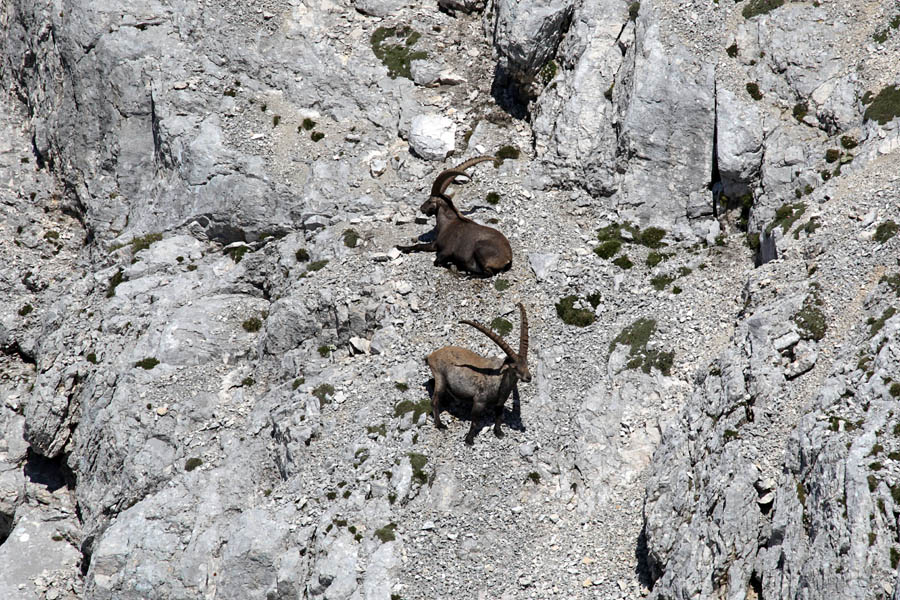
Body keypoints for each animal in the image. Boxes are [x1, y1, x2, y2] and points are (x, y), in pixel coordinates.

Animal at [425, 303, 531, 445]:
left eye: (526, 363)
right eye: (514, 367)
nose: (528, 377)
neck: (500, 382)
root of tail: (431, 356)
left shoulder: (500, 402)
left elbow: (499, 416)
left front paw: (499, 432)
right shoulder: (479, 401)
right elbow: (475, 421)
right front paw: (469, 440)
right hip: (440, 377)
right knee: (435, 401)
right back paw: (440, 424)